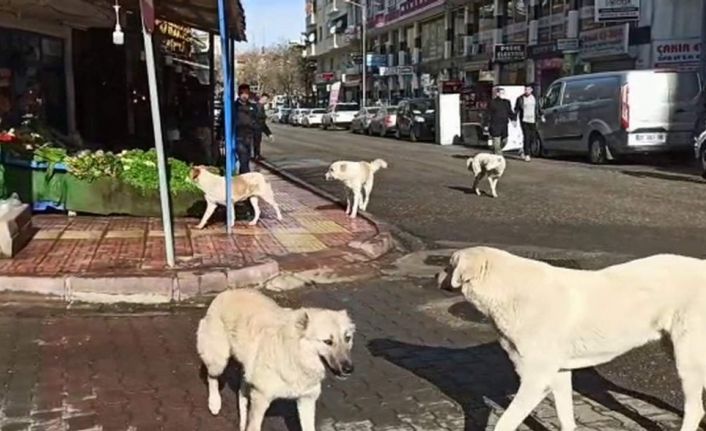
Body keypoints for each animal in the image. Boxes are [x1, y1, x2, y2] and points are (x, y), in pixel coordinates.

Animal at [195, 288, 354, 431]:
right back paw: (214, 403)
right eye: (328, 341)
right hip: (218, 361)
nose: (349, 369)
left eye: (347, 338)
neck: (295, 355)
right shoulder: (261, 398)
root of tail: (227, 291)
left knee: (241, 390)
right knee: (212, 377)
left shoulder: (307, 400)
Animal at [442, 246, 706, 431]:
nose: (437, 275)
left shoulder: (536, 380)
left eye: (448, 265)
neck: (510, 291)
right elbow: (565, 417)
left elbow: (504, 423)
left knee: (695, 409)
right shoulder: (559, 374)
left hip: (687, 358)